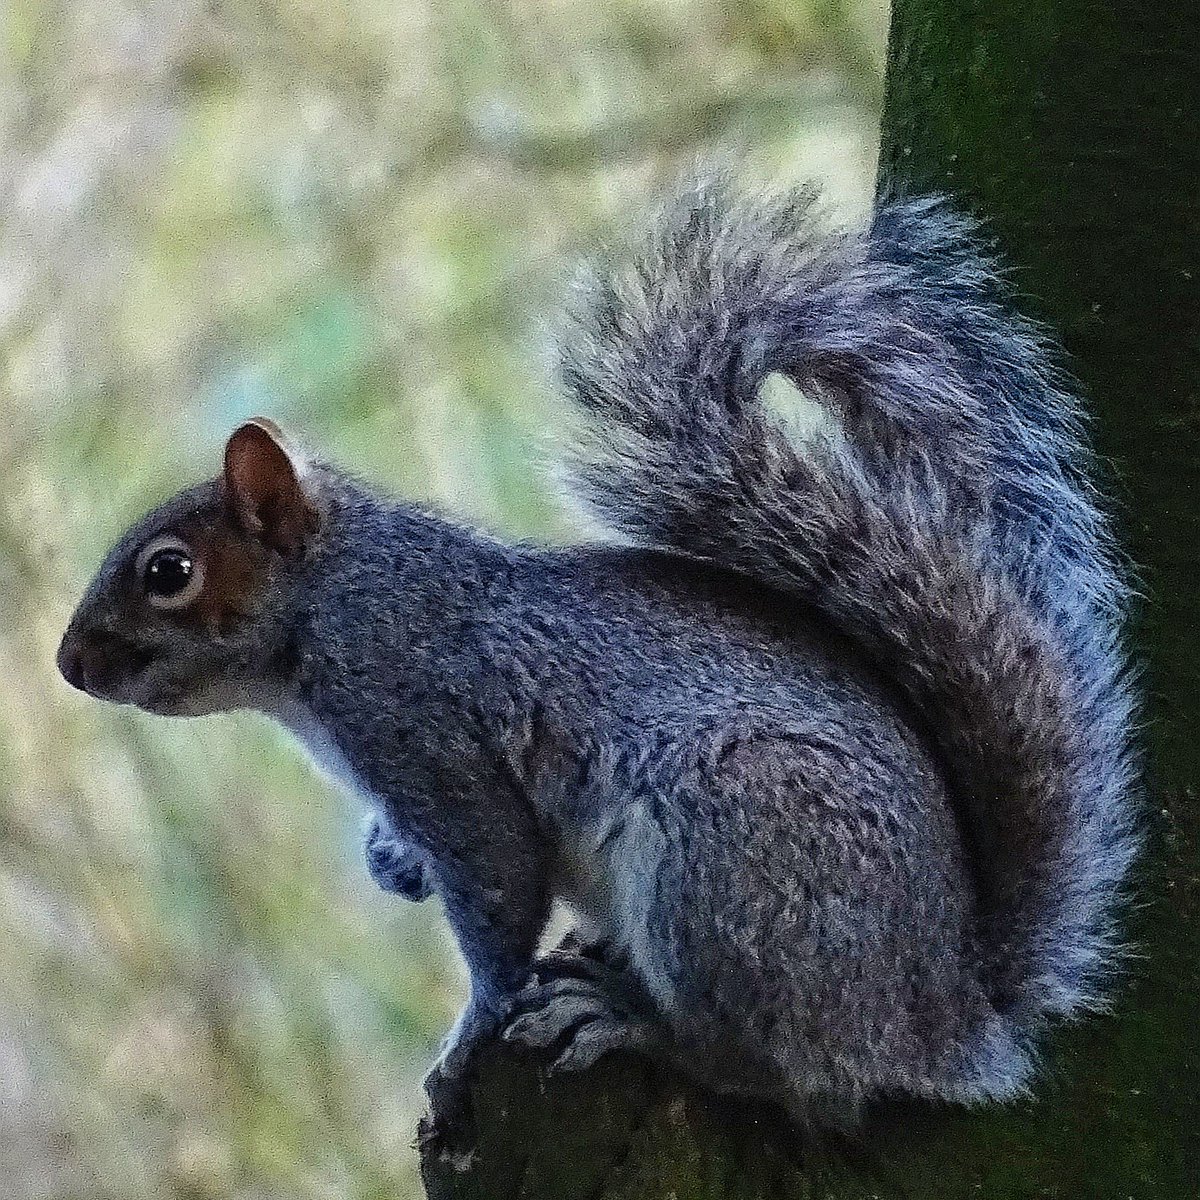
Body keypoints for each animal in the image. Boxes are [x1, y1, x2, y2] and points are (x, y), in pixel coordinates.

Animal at [56, 175, 1137, 1123]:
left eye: (168, 572)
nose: (69, 665)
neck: (333, 606)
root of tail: (944, 1016)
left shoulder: (427, 729)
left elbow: (498, 899)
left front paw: (465, 1044)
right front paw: (390, 859)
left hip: (734, 854)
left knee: (791, 1079)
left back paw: (635, 1024)